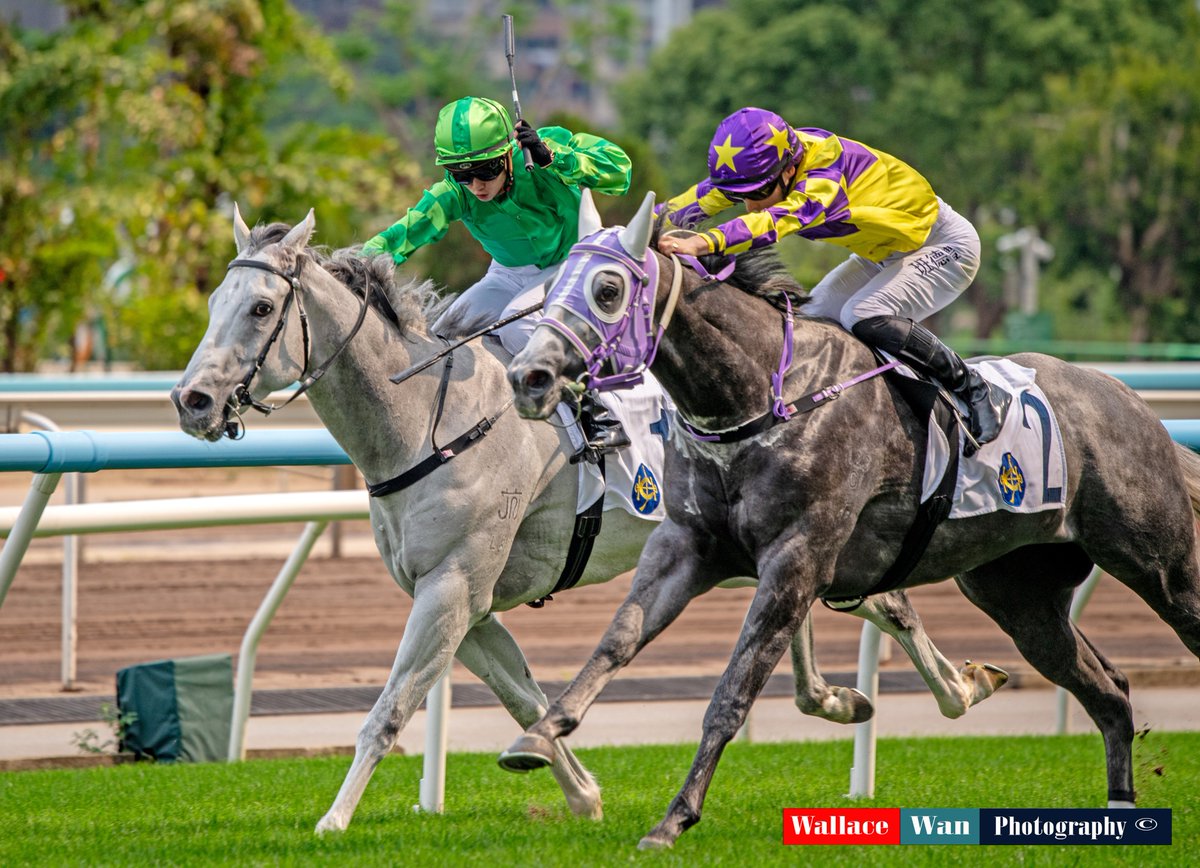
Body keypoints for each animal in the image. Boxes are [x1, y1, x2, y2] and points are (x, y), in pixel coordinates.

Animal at [171, 206, 1005, 835]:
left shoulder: (453, 586)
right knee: (854, 605)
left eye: (261, 308)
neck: (430, 421)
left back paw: (952, 689)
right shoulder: (464, 601)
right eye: (212, 303)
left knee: (877, 603)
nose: (192, 401)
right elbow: (523, 693)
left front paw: (334, 819)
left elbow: (390, 708)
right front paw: (580, 790)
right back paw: (870, 694)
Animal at [501, 191, 1200, 849]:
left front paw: (673, 820)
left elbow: (732, 693)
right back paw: (1119, 810)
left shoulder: (797, 559)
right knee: (1107, 690)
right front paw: (539, 738)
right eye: (553, 284)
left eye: (608, 290)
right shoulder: (687, 546)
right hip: (1019, 594)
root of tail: (1130, 400)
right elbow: (617, 639)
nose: (527, 377)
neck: (765, 397)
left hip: (1159, 564)